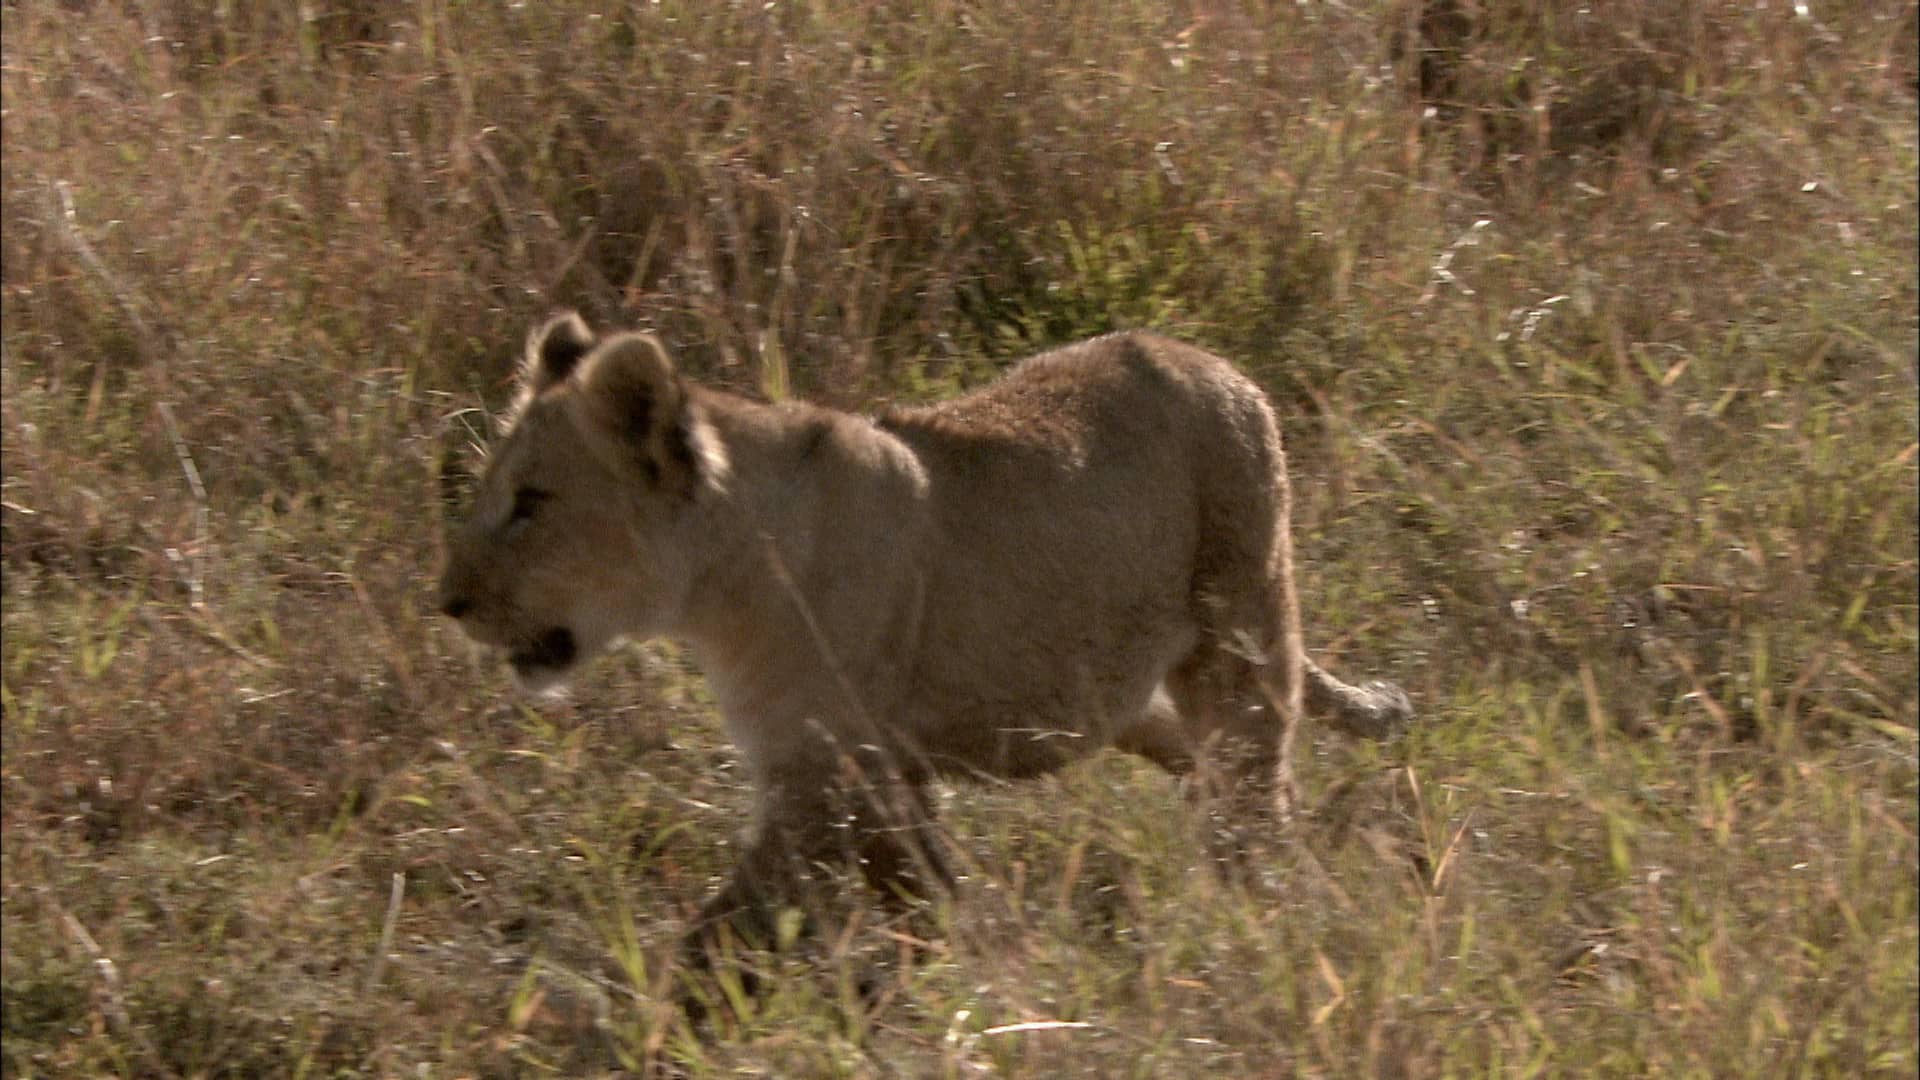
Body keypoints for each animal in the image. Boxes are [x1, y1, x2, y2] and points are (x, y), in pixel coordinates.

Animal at [437, 313, 1412, 949]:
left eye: (530, 503)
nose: (448, 601)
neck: (725, 575)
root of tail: (1217, 362)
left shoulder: (822, 777)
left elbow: (723, 932)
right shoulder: (875, 773)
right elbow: (917, 888)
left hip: (1242, 628)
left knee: (1253, 784)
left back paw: (1267, 892)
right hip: (1115, 682)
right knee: (1195, 754)